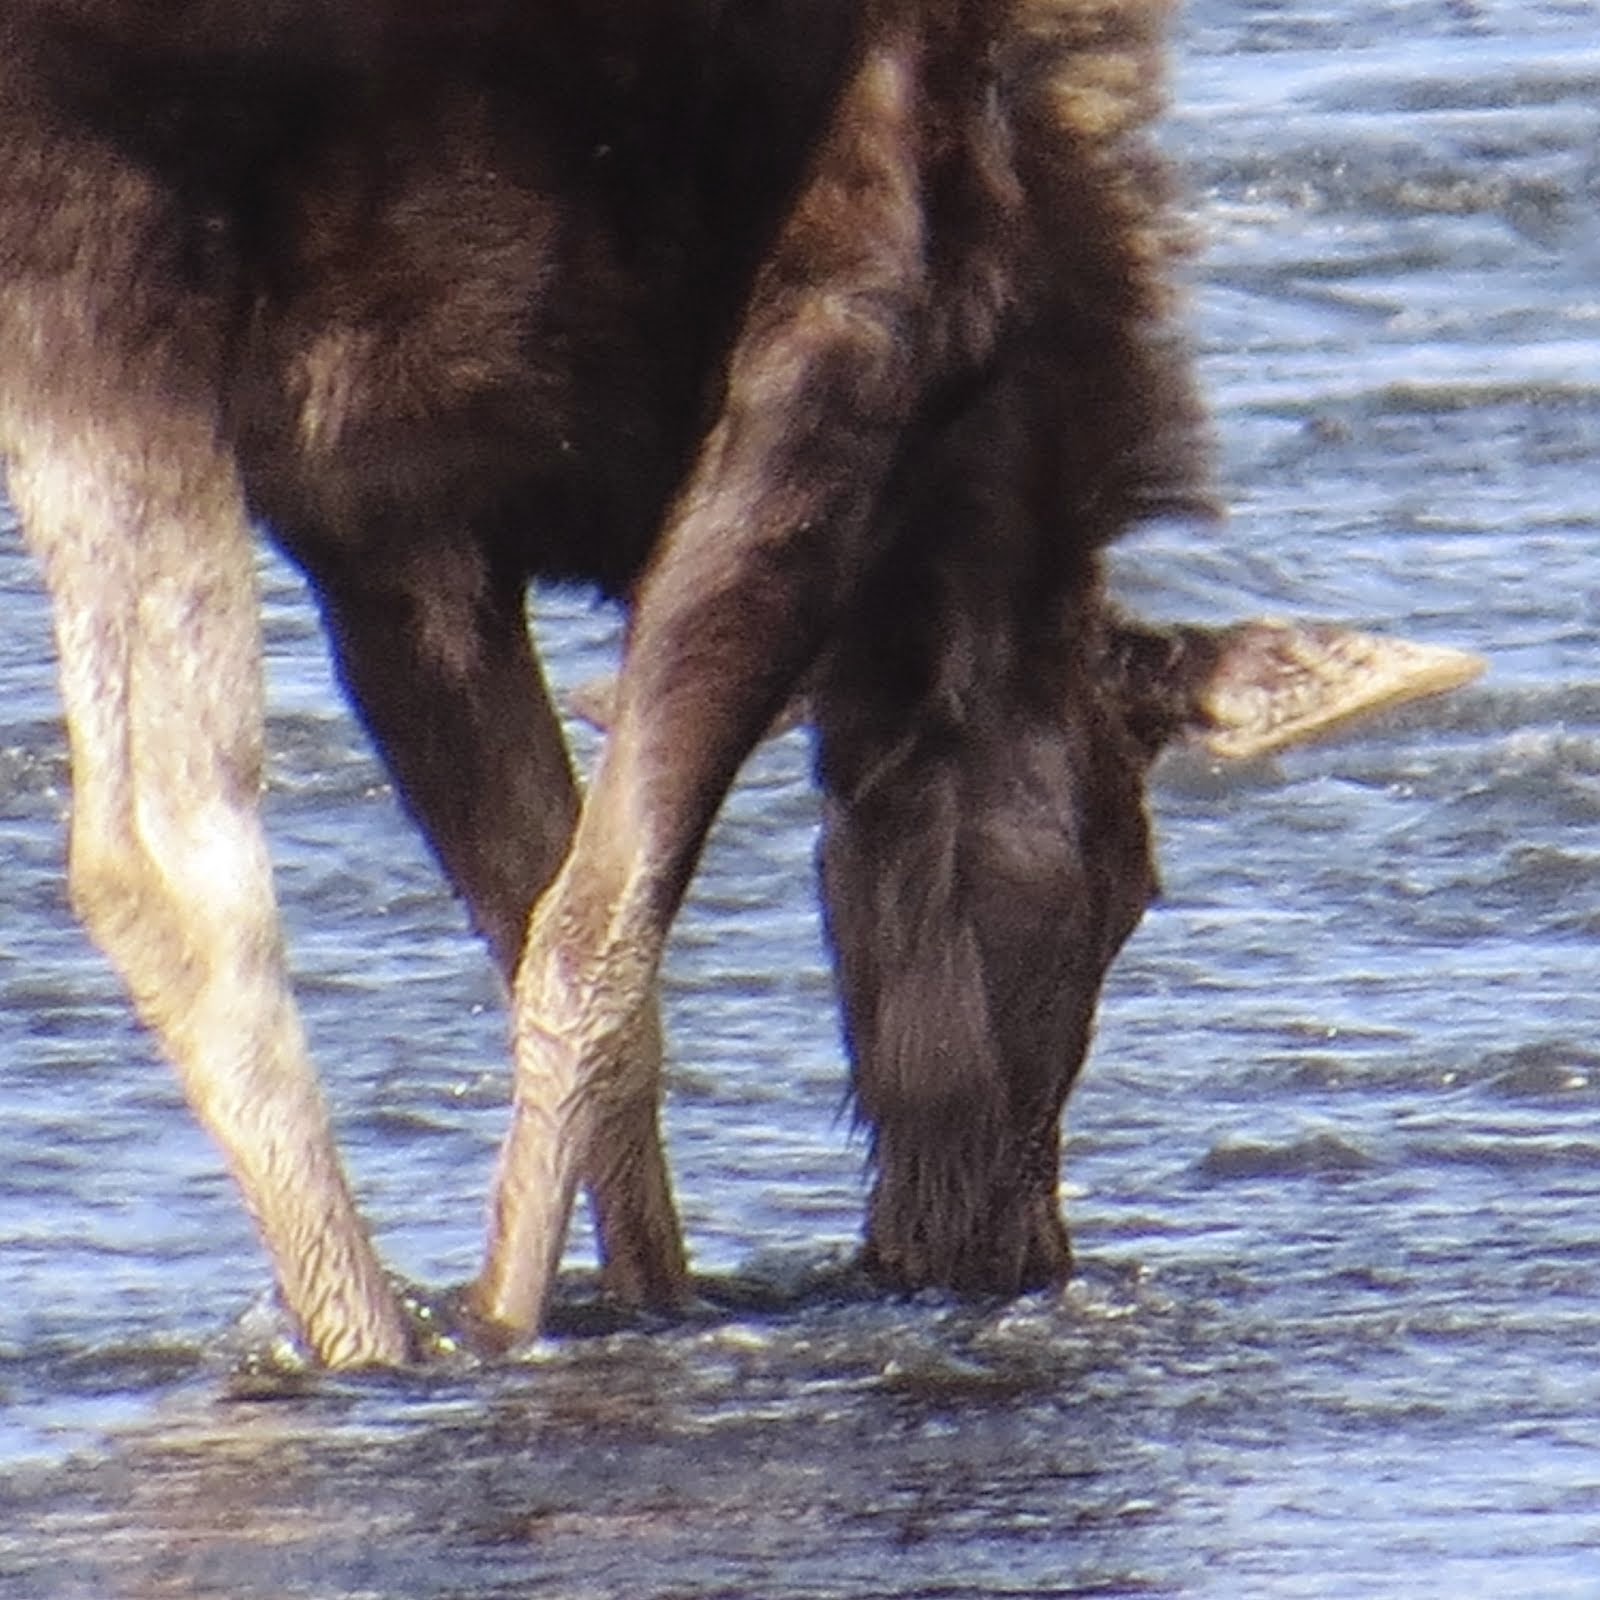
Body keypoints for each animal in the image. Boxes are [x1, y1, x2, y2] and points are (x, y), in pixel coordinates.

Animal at [0, 6, 1478, 1369]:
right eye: (1119, 890)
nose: (1014, 1246)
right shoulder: (846, 336)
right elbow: (601, 930)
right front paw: (511, 1320)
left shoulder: (385, 524)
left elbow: (545, 917)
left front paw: (644, 1296)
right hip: (105, 232)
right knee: (179, 863)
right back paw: (380, 1341)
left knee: (139, 862)